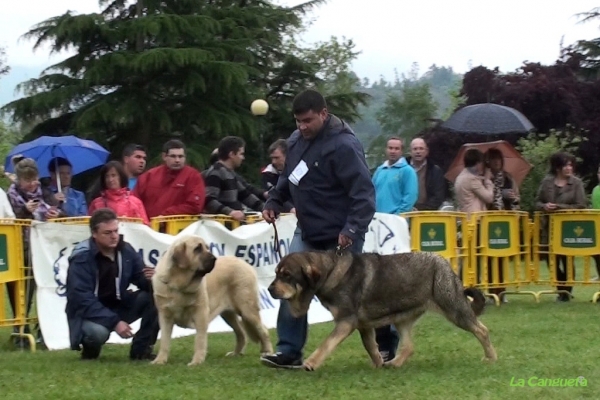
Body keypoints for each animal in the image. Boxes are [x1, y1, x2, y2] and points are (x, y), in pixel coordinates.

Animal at [151, 234, 274, 366]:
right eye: (197, 249)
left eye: (206, 248)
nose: (214, 258)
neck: (178, 284)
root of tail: (245, 263)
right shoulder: (165, 317)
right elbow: (164, 341)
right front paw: (160, 360)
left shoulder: (200, 314)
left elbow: (199, 341)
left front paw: (196, 362)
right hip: (229, 315)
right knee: (241, 334)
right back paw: (236, 353)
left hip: (248, 311)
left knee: (263, 331)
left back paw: (268, 352)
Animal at [268, 252, 496, 370]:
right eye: (276, 273)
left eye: (287, 275)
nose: (270, 289)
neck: (329, 271)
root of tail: (444, 262)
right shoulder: (363, 325)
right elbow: (370, 346)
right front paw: (378, 363)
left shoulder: (346, 322)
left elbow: (326, 344)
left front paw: (311, 363)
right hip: (403, 318)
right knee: (408, 346)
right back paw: (394, 363)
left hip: (454, 308)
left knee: (482, 330)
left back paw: (491, 357)